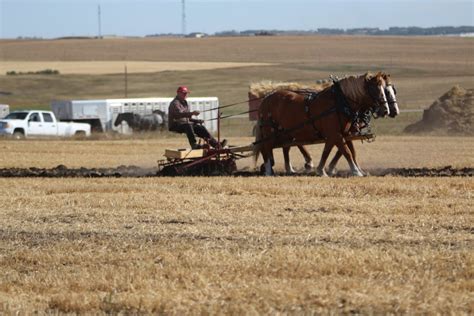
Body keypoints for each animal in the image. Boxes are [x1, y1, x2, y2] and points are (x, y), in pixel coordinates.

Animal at [256, 72, 388, 175]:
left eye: (384, 88)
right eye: (375, 89)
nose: (385, 110)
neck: (339, 102)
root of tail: (265, 99)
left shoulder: (341, 133)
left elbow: (332, 151)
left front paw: (321, 170)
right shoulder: (335, 134)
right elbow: (346, 152)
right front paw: (356, 171)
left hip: (284, 132)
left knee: (284, 147)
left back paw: (289, 169)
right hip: (270, 131)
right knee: (266, 147)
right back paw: (268, 170)